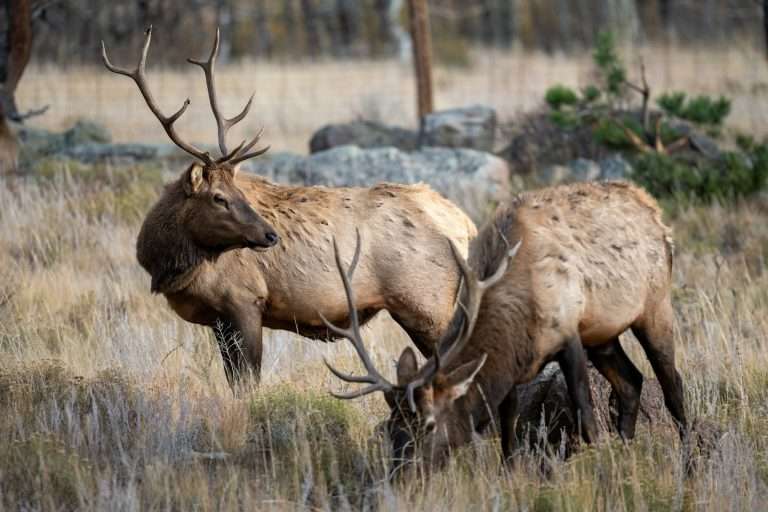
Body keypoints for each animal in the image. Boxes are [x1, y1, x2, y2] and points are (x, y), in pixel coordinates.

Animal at [102, 27, 476, 388]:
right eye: (219, 197)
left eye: (234, 193)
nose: (269, 236)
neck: (168, 263)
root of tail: (463, 224)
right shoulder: (218, 320)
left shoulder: (244, 301)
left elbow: (247, 383)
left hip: (425, 303)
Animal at [324, 181, 688, 471]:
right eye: (391, 428)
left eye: (428, 424)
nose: (401, 475)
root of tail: (653, 209)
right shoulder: (514, 364)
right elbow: (508, 425)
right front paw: (511, 473)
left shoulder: (568, 334)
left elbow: (585, 414)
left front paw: (599, 466)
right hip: (603, 335)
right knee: (631, 383)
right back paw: (627, 451)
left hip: (655, 305)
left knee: (673, 386)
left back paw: (689, 459)